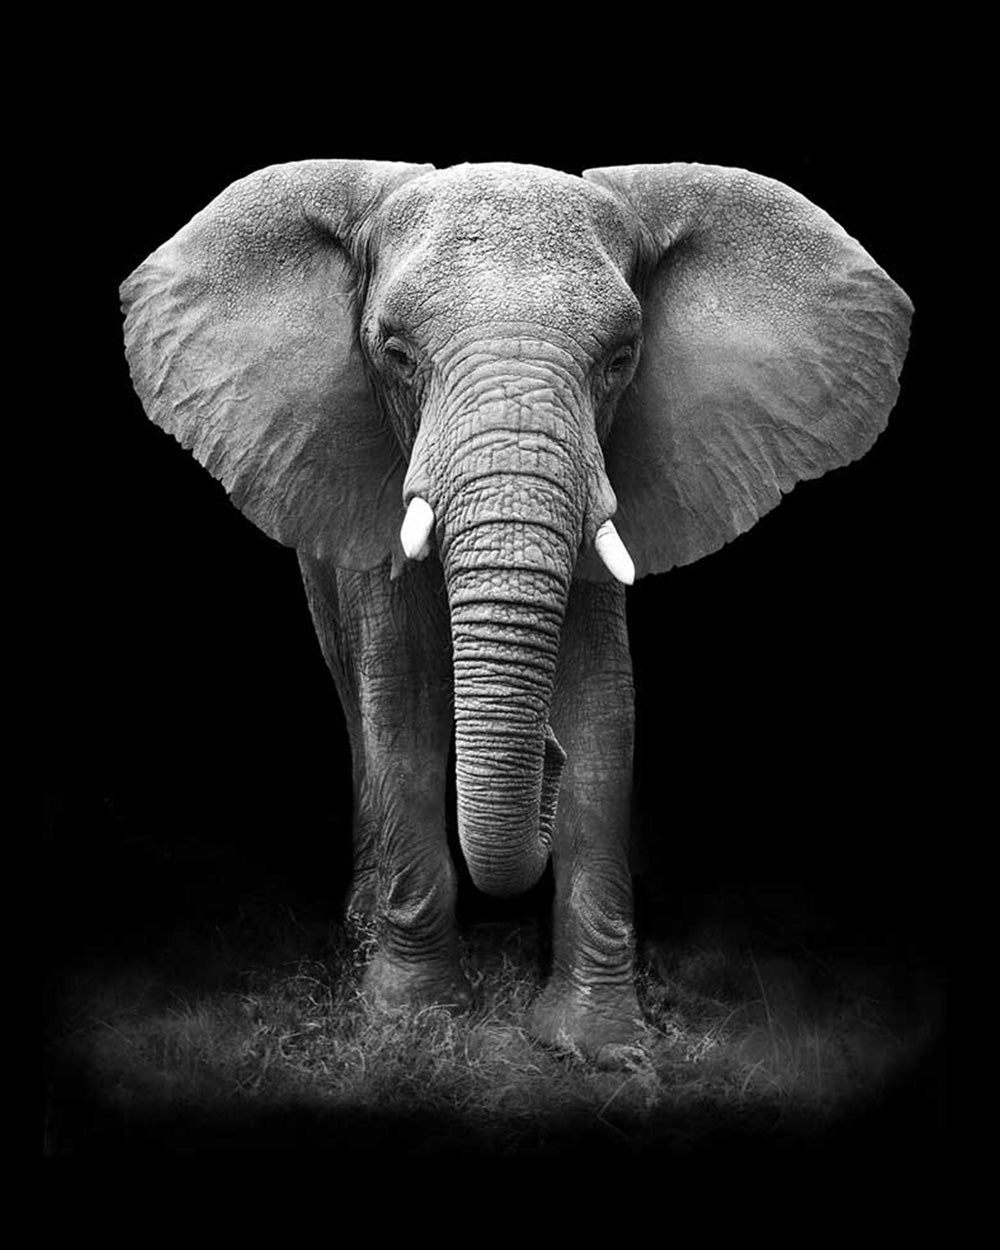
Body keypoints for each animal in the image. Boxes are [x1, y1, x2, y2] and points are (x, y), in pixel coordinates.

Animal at [120, 159, 911, 1062]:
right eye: (395, 354)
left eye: (621, 359)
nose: (544, 758)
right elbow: (404, 706)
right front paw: (413, 1022)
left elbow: (605, 711)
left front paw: (598, 1045)